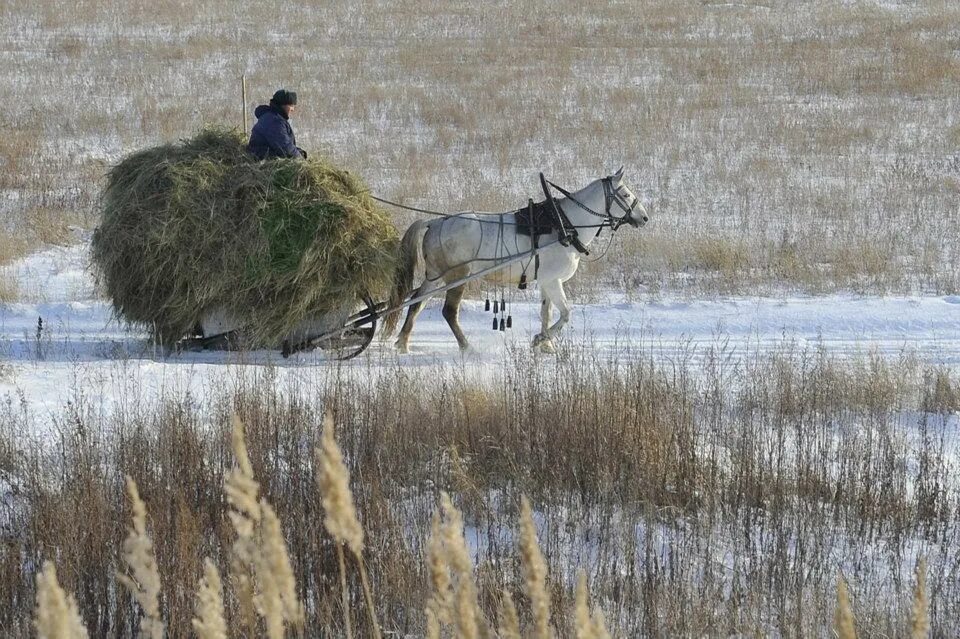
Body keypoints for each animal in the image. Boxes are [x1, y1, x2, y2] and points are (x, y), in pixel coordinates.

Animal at [386, 170, 648, 356]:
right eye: (625, 194)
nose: (644, 217)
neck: (565, 225)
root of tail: (436, 222)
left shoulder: (545, 281)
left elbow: (546, 312)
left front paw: (546, 346)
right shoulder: (553, 280)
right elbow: (565, 314)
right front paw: (541, 340)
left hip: (436, 275)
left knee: (416, 303)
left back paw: (403, 343)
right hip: (457, 276)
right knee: (448, 311)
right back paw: (466, 346)